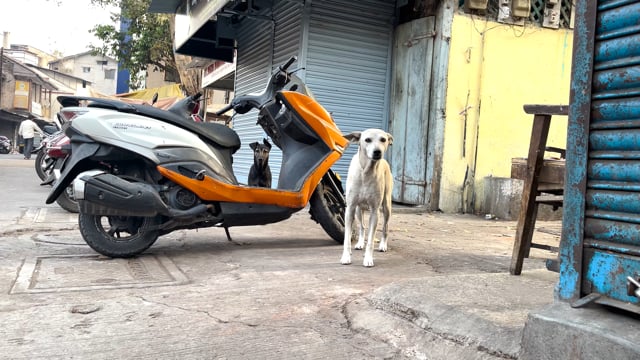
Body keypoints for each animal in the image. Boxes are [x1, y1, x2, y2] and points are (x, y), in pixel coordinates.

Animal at [342, 129, 392, 268]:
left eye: (383, 139)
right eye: (367, 140)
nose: (377, 152)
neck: (366, 172)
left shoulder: (375, 211)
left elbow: (371, 240)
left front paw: (368, 259)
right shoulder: (350, 208)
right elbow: (347, 238)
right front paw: (346, 257)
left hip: (386, 206)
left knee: (385, 227)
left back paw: (383, 245)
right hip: (358, 210)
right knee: (362, 227)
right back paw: (359, 243)